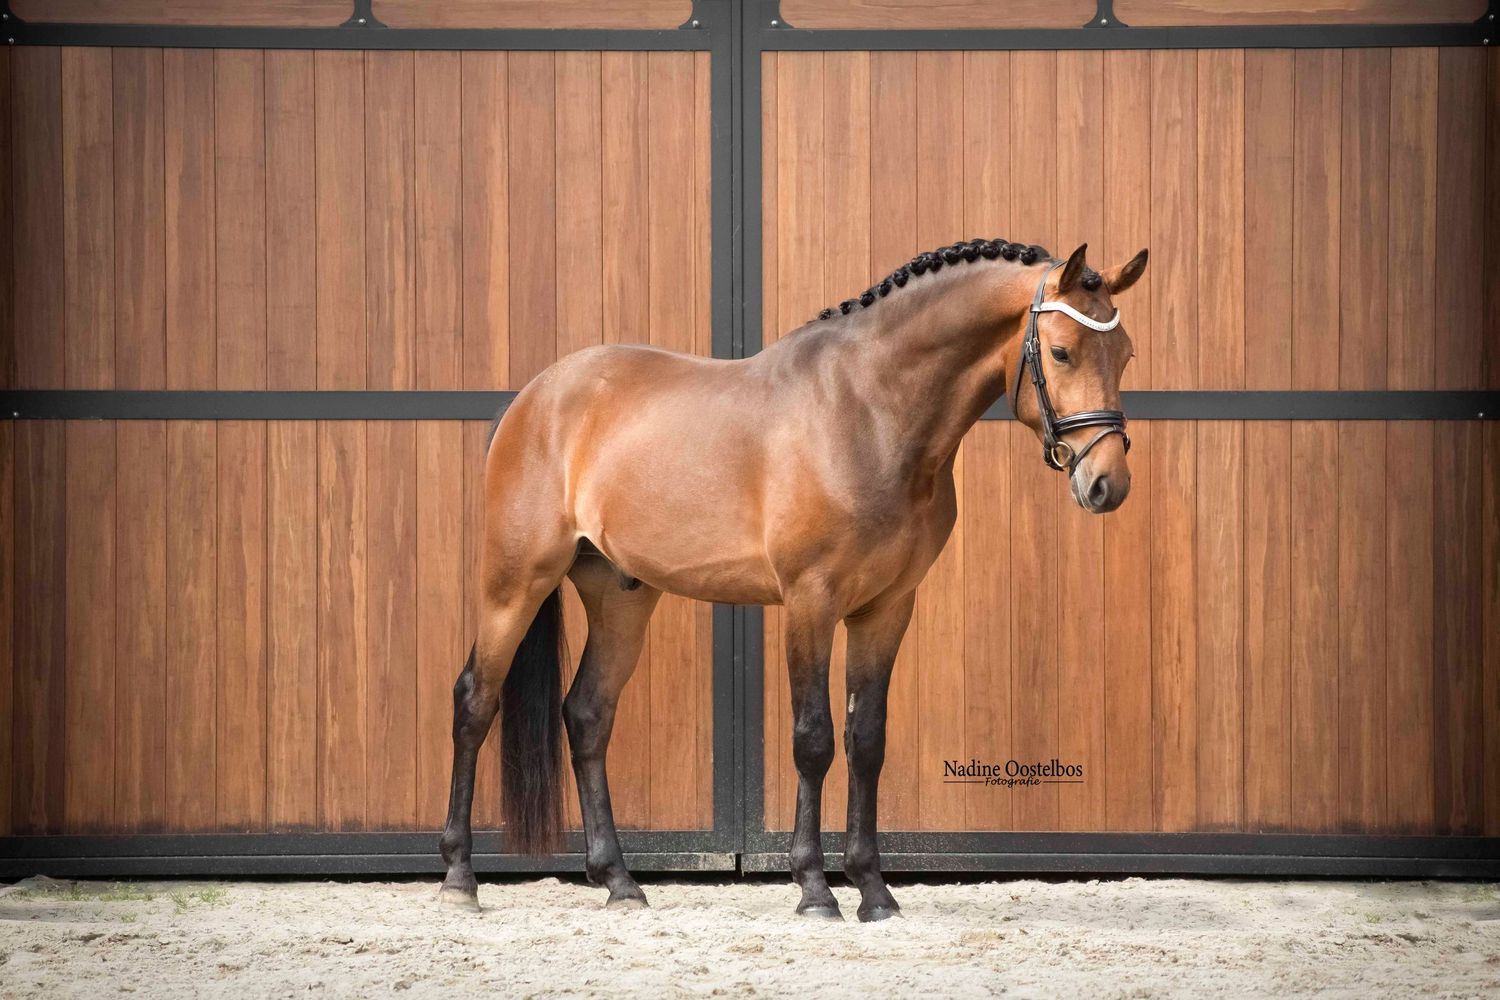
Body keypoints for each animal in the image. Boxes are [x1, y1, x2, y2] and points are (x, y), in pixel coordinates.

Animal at [437, 238, 1149, 920]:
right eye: (1061, 351)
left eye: (1126, 354)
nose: (1107, 485)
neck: (868, 412)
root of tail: (533, 397)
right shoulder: (811, 601)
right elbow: (814, 739)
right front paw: (814, 889)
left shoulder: (887, 607)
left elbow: (866, 741)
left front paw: (874, 891)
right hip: (514, 584)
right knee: (474, 702)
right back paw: (459, 878)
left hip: (621, 596)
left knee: (587, 715)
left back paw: (619, 882)